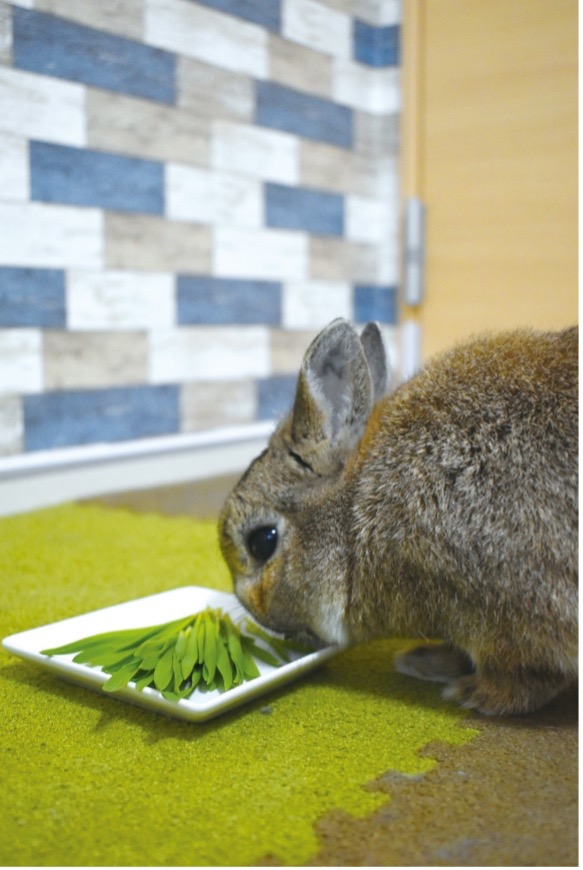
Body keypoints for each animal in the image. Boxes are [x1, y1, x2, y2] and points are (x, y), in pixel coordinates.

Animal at [219, 320, 580, 716]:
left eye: (262, 542)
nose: (260, 618)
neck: (353, 520)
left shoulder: (509, 614)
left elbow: (527, 676)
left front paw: (471, 693)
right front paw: (427, 661)